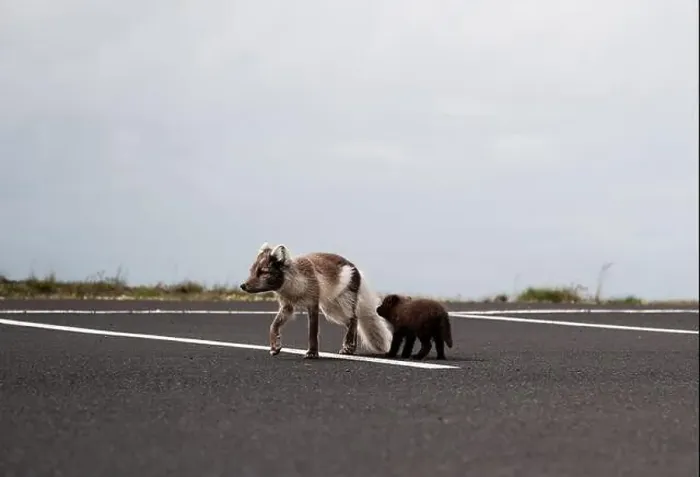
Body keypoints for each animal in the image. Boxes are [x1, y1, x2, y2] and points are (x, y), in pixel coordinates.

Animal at [239, 243, 394, 359]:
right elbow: (273, 326)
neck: (294, 288)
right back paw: (350, 348)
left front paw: (312, 353)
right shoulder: (287, 306)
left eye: (263, 272)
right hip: (330, 310)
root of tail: (356, 269)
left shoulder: (312, 304)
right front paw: (274, 346)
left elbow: (313, 332)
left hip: (341, 304)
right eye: (252, 271)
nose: (242, 286)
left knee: (354, 318)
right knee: (351, 323)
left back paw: (348, 346)